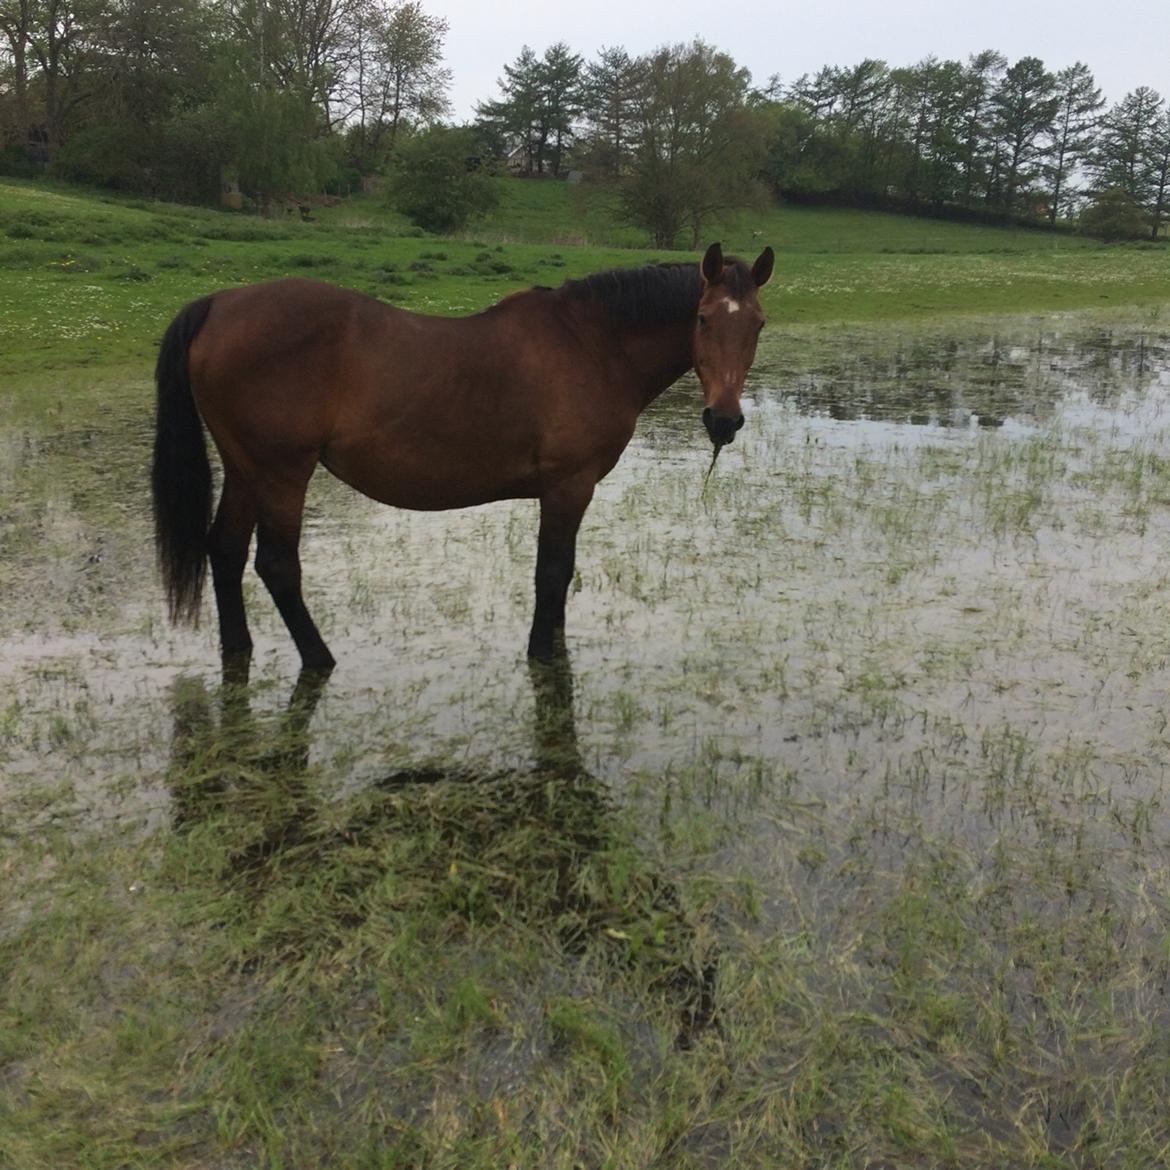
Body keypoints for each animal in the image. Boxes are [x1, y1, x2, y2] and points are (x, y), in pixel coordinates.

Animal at [153, 242, 776, 673]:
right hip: (282, 473)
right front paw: (542, 653)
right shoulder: (568, 486)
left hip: (246, 470)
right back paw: (319, 659)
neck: (592, 344)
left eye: (758, 324)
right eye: (703, 318)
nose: (724, 420)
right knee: (277, 566)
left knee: (225, 551)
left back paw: (239, 651)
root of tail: (217, 304)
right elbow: (553, 572)